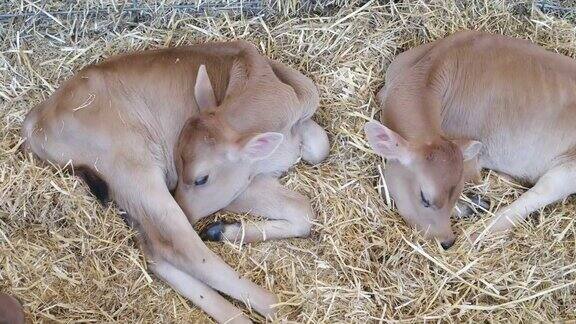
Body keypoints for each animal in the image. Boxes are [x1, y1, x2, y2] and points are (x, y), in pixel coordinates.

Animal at [366, 30, 576, 248]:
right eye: (424, 198)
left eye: (457, 193)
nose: (447, 242)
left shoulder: (471, 164)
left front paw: (469, 205)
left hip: (567, 172)